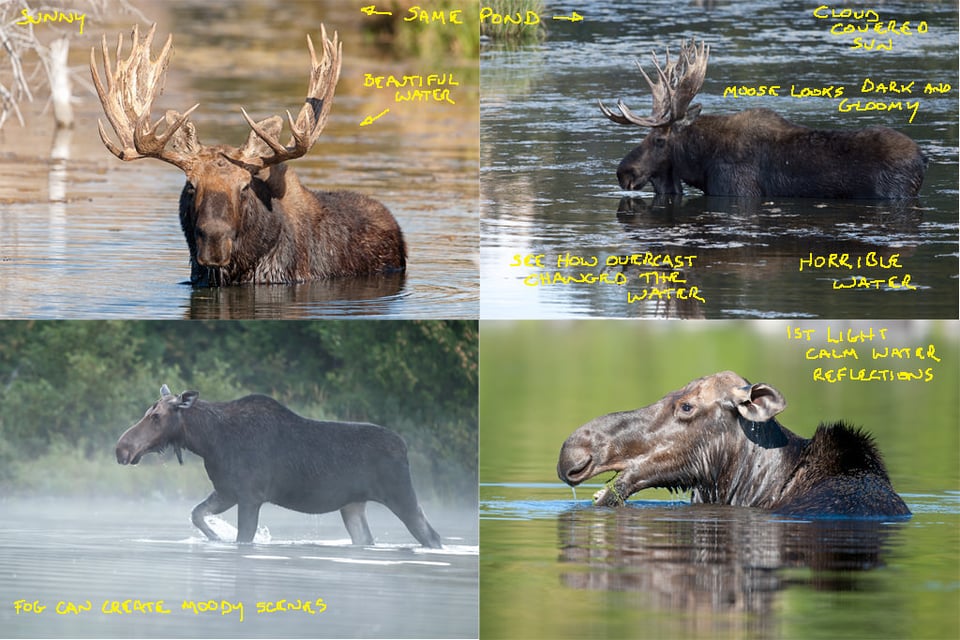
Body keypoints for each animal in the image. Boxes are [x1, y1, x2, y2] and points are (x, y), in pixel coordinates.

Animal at [116, 388, 442, 548]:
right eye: (149, 412)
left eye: (156, 416)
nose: (122, 448)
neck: (207, 441)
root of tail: (405, 448)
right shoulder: (227, 491)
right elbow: (197, 514)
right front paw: (216, 537)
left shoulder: (250, 496)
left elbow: (242, 536)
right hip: (352, 505)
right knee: (365, 538)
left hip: (399, 493)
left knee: (431, 534)